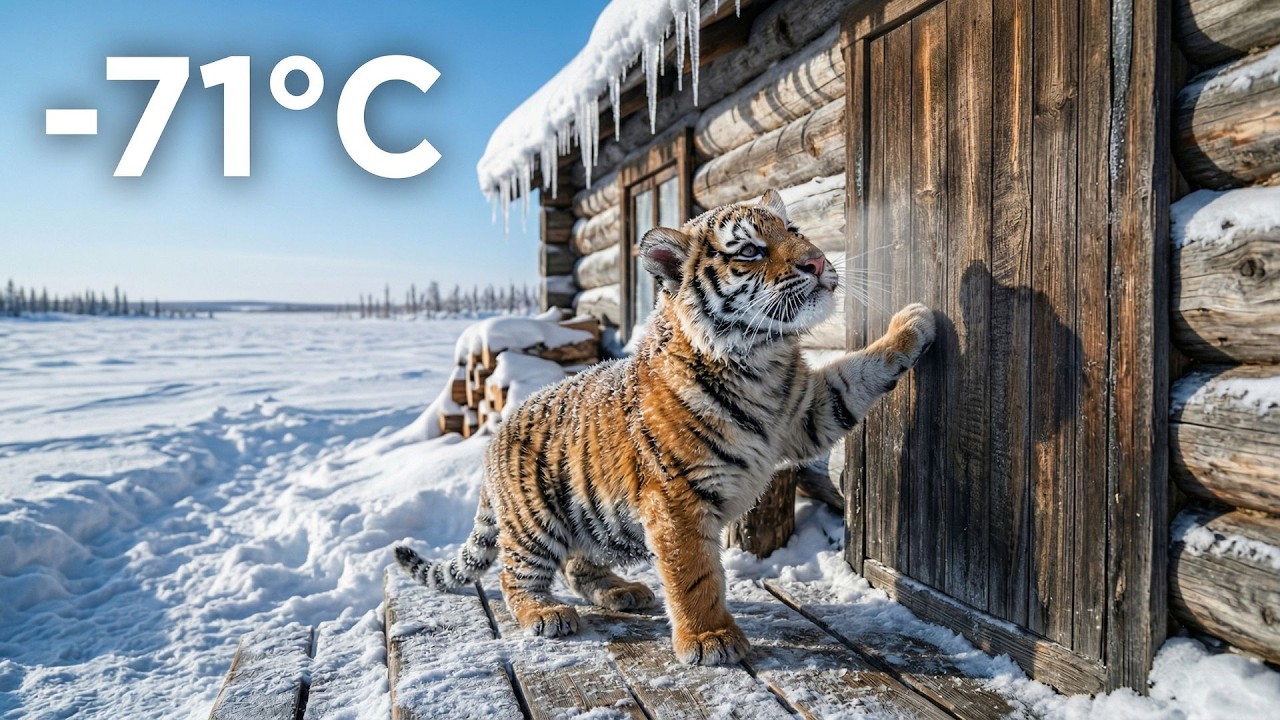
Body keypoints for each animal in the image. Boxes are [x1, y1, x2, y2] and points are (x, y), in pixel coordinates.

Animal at [396, 189, 935, 666]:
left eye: (795, 232)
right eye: (750, 251)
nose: (820, 263)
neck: (760, 363)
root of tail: (498, 434)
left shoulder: (807, 411)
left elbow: (856, 374)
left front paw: (915, 322)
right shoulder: (676, 495)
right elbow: (693, 573)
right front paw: (710, 639)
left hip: (592, 524)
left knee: (576, 565)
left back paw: (621, 592)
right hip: (536, 522)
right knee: (515, 576)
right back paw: (545, 614)